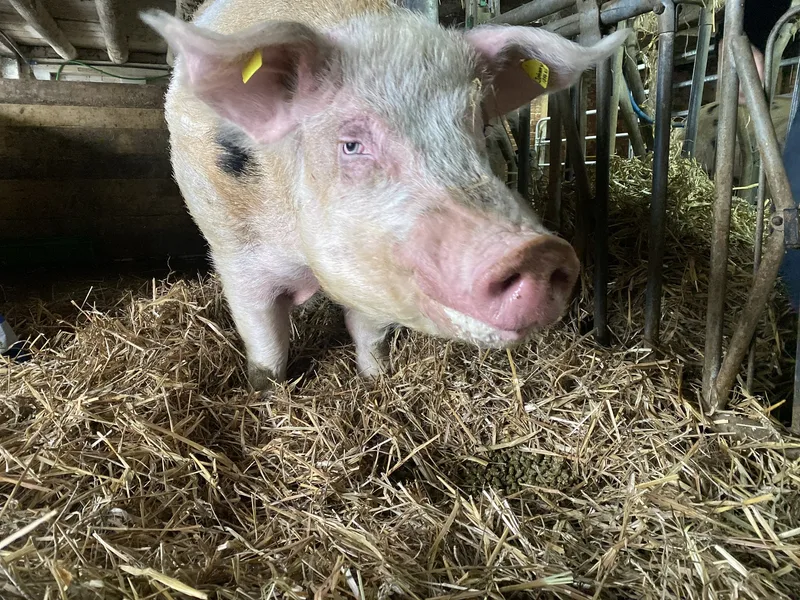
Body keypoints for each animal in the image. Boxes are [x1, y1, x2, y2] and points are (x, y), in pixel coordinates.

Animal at [141, 0, 628, 390]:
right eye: (351, 144)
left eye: (482, 125)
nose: (538, 253)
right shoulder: (236, 252)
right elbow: (265, 342)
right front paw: (267, 395)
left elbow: (368, 333)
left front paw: (376, 380)